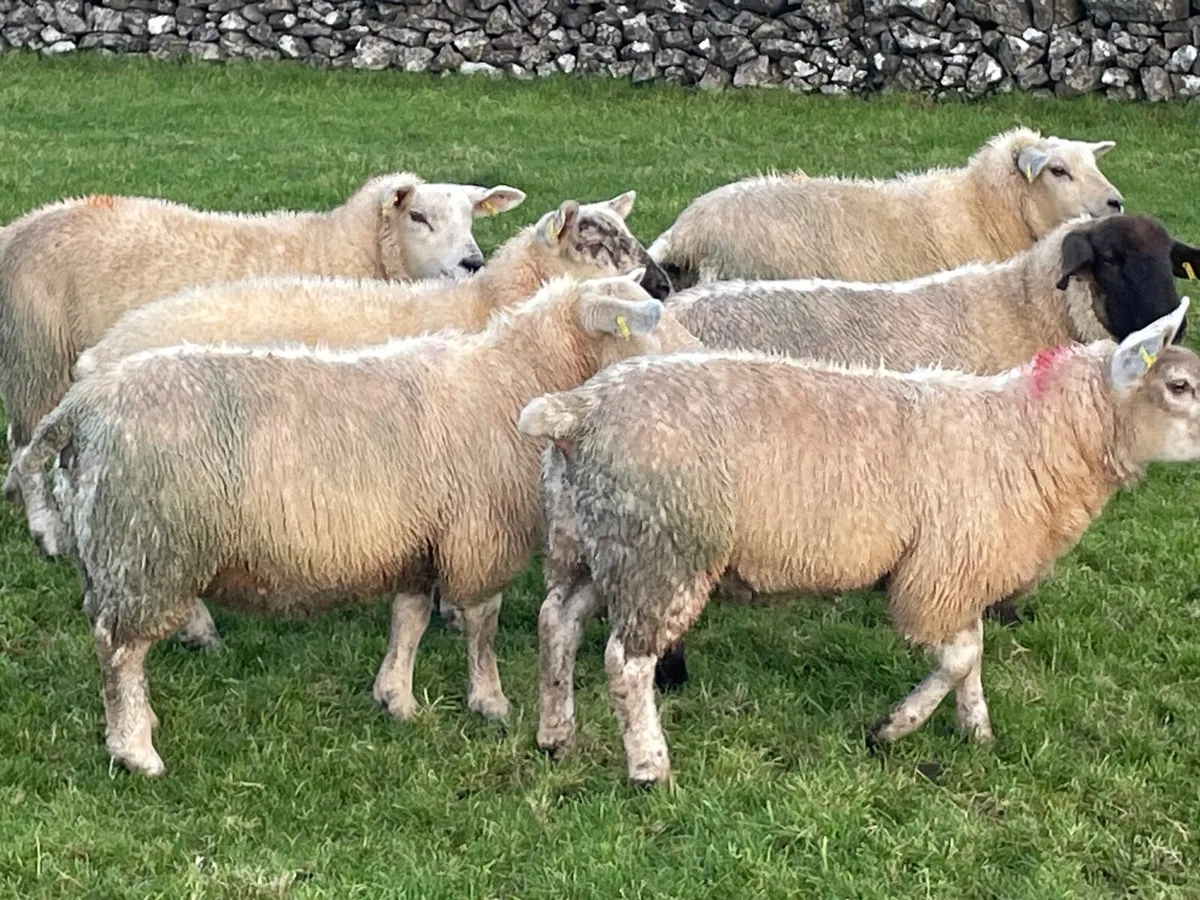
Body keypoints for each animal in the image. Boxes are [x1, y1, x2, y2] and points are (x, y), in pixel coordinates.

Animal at [0, 173, 526, 502]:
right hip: (37, 356)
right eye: (417, 216)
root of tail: (19, 226)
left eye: (472, 217)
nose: (472, 262)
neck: (336, 250)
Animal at [15, 270, 698, 776]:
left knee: (112, 638)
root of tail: (81, 404)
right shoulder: (478, 533)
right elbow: (482, 622)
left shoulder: (420, 539)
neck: (514, 380)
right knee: (117, 648)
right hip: (148, 543)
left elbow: (410, 619)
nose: (703, 364)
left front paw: (396, 698)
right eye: (646, 322)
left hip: (119, 548)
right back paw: (136, 749)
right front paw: (491, 701)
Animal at [519, 300, 1199, 785]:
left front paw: (975, 730)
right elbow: (959, 657)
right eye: (1179, 387)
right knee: (626, 662)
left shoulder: (964, 568)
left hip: (591, 541)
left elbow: (973, 655)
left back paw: (555, 735)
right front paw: (892, 729)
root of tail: (577, 409)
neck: (1031, 435)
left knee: (557, 622)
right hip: (664, 549)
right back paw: (648, 767)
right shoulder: (938, 572)